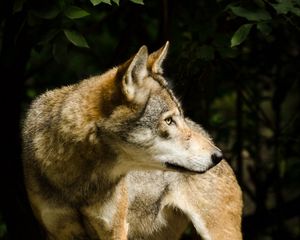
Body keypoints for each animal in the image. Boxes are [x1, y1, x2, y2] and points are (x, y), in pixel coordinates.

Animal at [21, 42, 241, 239]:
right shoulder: (56, 232)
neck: (79, 181)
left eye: (179, 117)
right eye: (169, 120)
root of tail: (207, 133)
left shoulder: (115, 230)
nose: (217, 155)